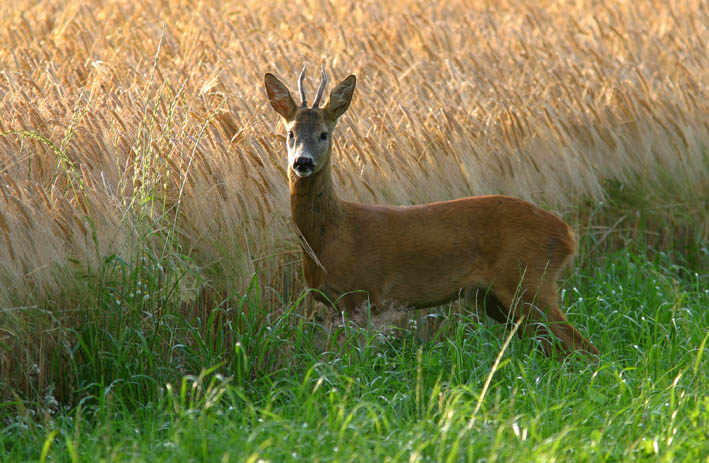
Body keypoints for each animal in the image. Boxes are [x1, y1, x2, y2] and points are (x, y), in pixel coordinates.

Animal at [264, 65, 596, 358]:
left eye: (323, 134)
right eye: (290, 133)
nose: (302, 162)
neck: (331, 236)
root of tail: (567, 234)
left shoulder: (363, 295)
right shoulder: (335, 305)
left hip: (528, 278)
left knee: (582, 346)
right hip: (495, 298)